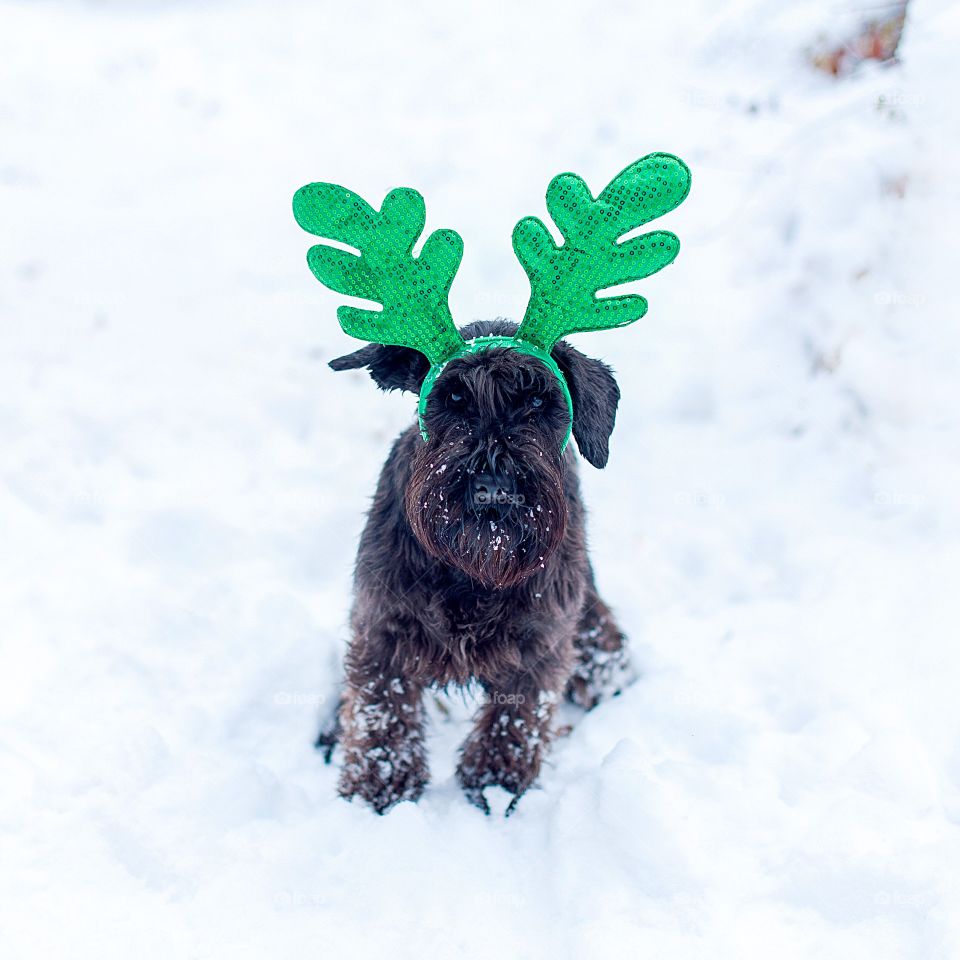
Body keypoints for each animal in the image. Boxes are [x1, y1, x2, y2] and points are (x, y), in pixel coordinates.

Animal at [316, 318, 636, 812]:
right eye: (453, 398)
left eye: (538, 402)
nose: (493, 487)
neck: (473, 571)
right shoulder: (385, 626)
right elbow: (380, 708)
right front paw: (381, 790)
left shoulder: (538, 642)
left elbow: (517, 718)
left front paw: (496, 787)